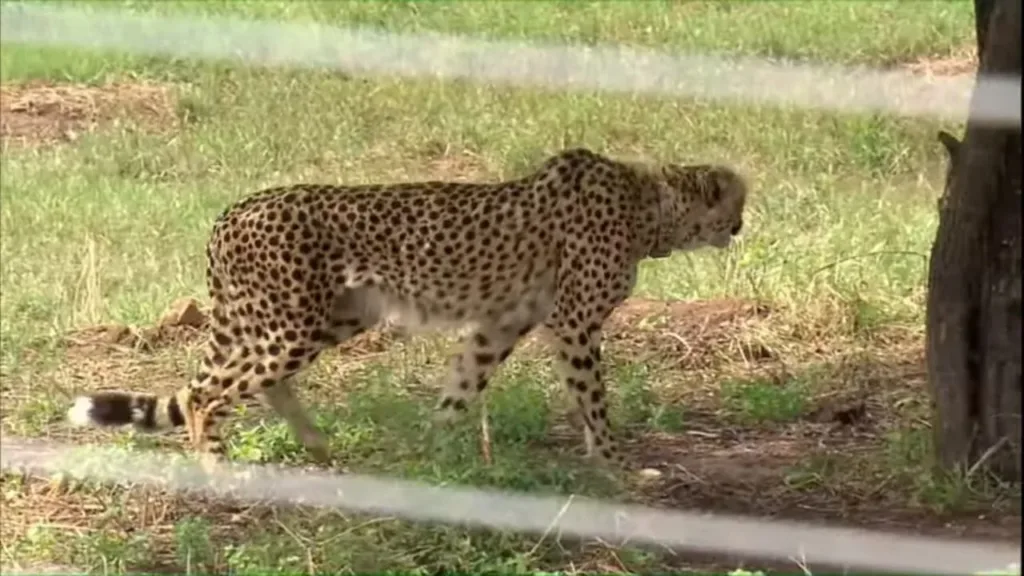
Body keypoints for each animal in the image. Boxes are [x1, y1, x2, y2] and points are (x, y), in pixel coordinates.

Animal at [67, 147, 748, 473]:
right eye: (735, 201)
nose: (743, 224)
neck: (650, 205)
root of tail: (231, 211)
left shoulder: (499, 325)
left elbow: (461, 390)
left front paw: (433, 454)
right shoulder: (574, 323)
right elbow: (594, 403)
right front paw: (614, 465)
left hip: (333, 316)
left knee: (251, 384)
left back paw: (318, 446)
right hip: (289, 322)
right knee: (206, 395)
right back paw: (218, 467)